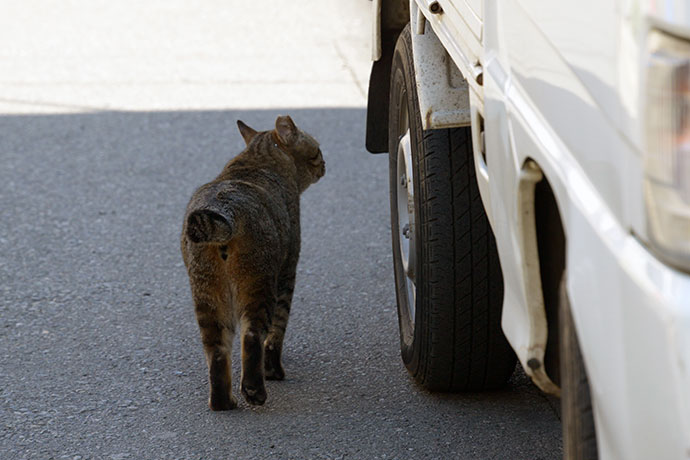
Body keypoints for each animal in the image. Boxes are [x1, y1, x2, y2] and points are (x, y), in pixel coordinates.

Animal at [180, 116, 326, 410]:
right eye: (317, 151)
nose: (325, 163)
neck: (257, 160)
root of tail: (225, 215)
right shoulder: (288, 271)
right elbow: (277, 331)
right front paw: (273, 370)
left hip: (207, 292)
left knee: (216, 350)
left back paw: (223, 401)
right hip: (259, 282)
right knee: (252, 337)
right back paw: (255, 390)